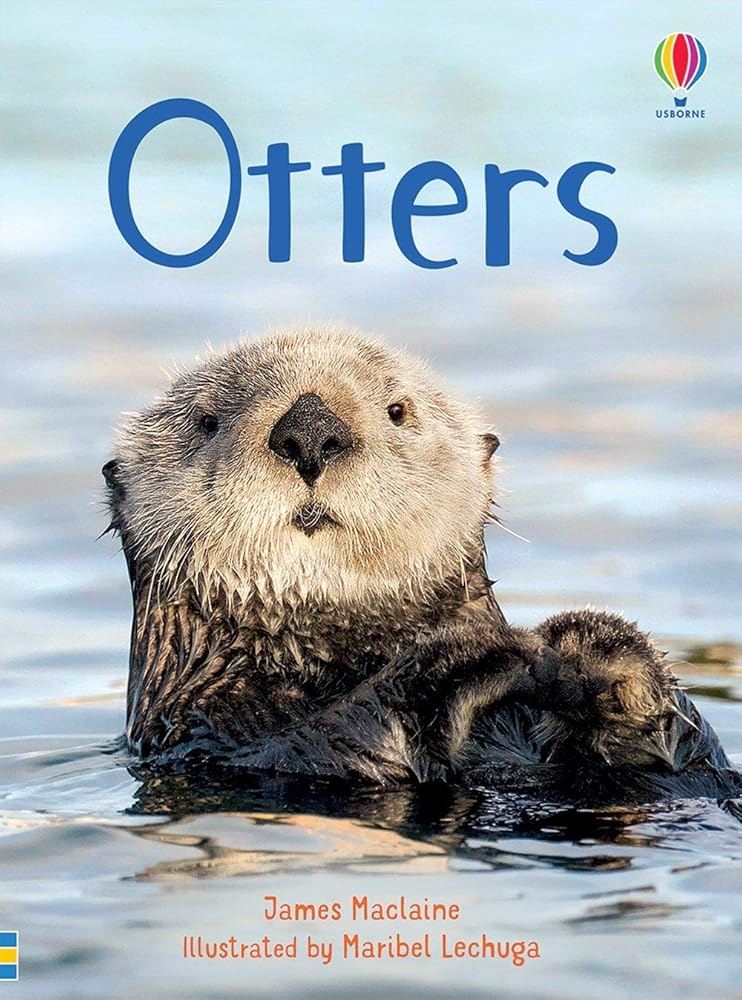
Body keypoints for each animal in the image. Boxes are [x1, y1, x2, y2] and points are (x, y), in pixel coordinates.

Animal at [103, 327, 740, 801]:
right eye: (207, 421)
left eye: (397, 410)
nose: (309, 432)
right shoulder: (203, 732)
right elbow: (307, 750)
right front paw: (465, 661)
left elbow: (691, 756)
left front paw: (598, 651)